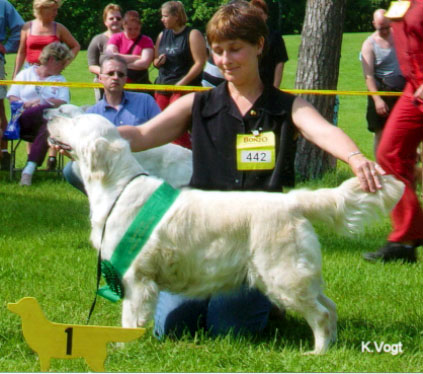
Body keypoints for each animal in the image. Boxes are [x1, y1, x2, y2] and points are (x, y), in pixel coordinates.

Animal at [48, 113, 406, 354]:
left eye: (76, 119)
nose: (50, 114)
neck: (118, 187)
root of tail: (292, 200)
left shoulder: (136, 277)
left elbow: (130, 317)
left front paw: (123, 349)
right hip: (299, 274)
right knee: (328, 306)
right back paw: (330, 346)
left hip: (282, 274)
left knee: (319, 313)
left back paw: (316, 353)